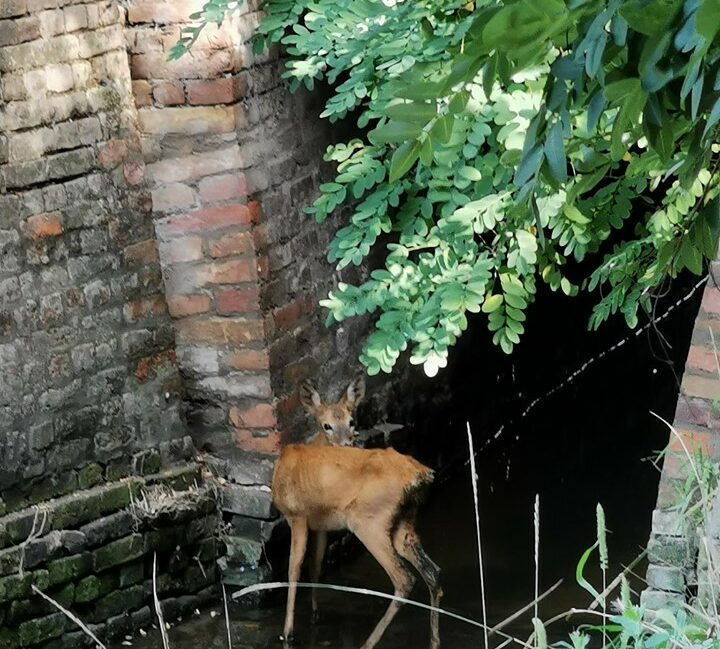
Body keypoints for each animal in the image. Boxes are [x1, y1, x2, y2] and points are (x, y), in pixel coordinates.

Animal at [272, 446, 438, 648]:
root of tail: (420, 475)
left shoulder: (297, 516)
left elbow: (293, 570)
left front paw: (287, 633)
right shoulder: (319, 525)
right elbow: (315, 566)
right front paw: (314, 614)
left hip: (368, 521)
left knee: (404, 578)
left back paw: (368, 643)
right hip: (403, 523)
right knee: (432, 572)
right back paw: (434, 642)